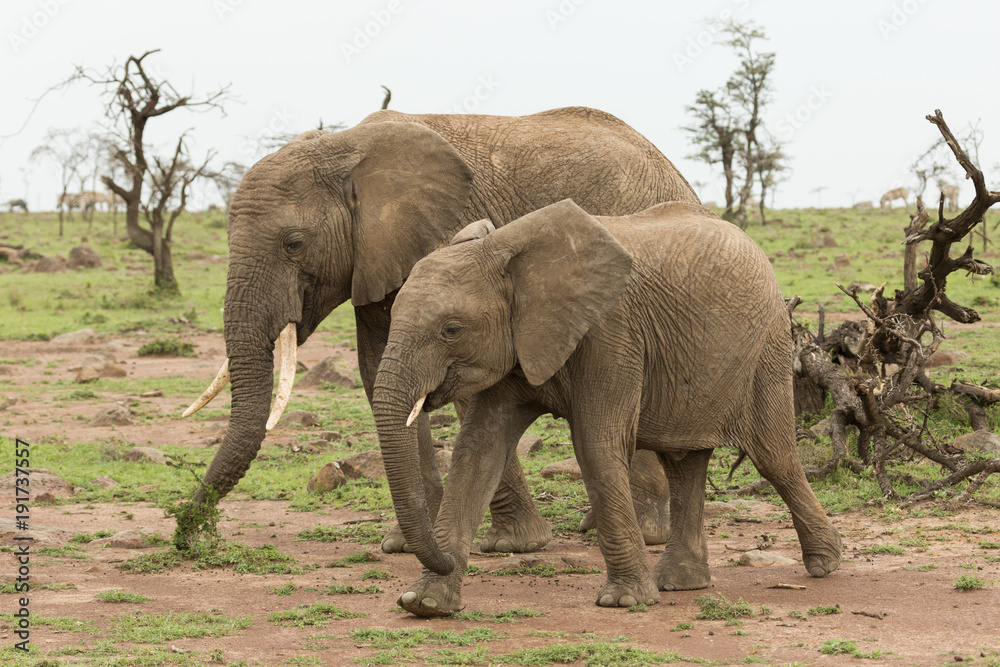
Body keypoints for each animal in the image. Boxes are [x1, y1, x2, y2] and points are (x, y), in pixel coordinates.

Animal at [177, 106, 699, 554]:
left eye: (294, 243)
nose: (188, 531)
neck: (346, 148)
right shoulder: (376, 262)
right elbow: (380, 375)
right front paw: (404, 545)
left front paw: (512, 545)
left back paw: (648, 532)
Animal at [372, 199, 843, 616]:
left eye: (451, 329)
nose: (445, 557)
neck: (509, 249)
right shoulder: (520, 345)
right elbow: (477, 451)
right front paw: (423, 604)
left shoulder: (611, 332)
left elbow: (596, 445)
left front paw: (625, 602)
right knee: (684, 464)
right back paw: (680, 582)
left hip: (767, 348)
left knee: (774, 458)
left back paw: (825, 563)